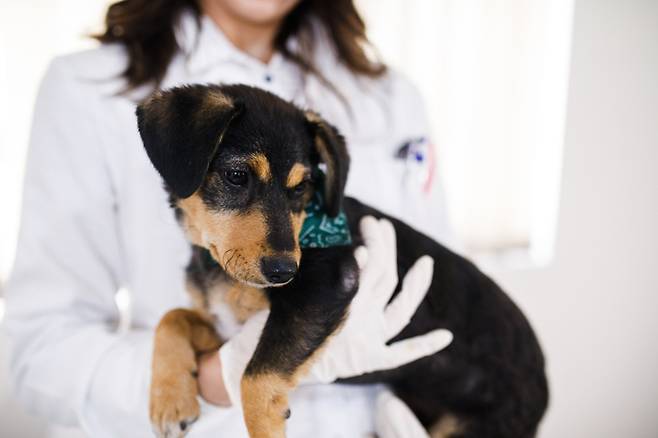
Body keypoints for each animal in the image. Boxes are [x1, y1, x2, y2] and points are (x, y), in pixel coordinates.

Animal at [136, 84, 548, 438]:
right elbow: (172, 319)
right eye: (237, 176)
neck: (221, 269)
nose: (285, 272)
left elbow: (254, 378)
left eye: (302, 187)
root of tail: (543, 381)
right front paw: (170, 401)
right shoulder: (225, 326)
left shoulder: (327, 285)